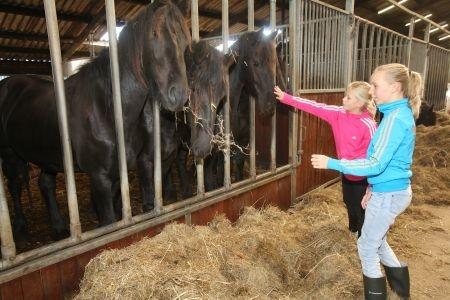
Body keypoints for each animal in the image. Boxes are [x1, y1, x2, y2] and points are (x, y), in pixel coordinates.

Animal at [0, 0, 191, 244]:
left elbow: (118, 212)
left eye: (185, 38)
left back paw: (59, 227)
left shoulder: (118, 173)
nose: (179, 95)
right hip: (10, 155)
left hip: (48, 156)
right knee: (15, 187)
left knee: (46, 184)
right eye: (154, 34)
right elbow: (109, 221)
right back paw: (21, 226)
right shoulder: (99, 177)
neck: (106, 109)